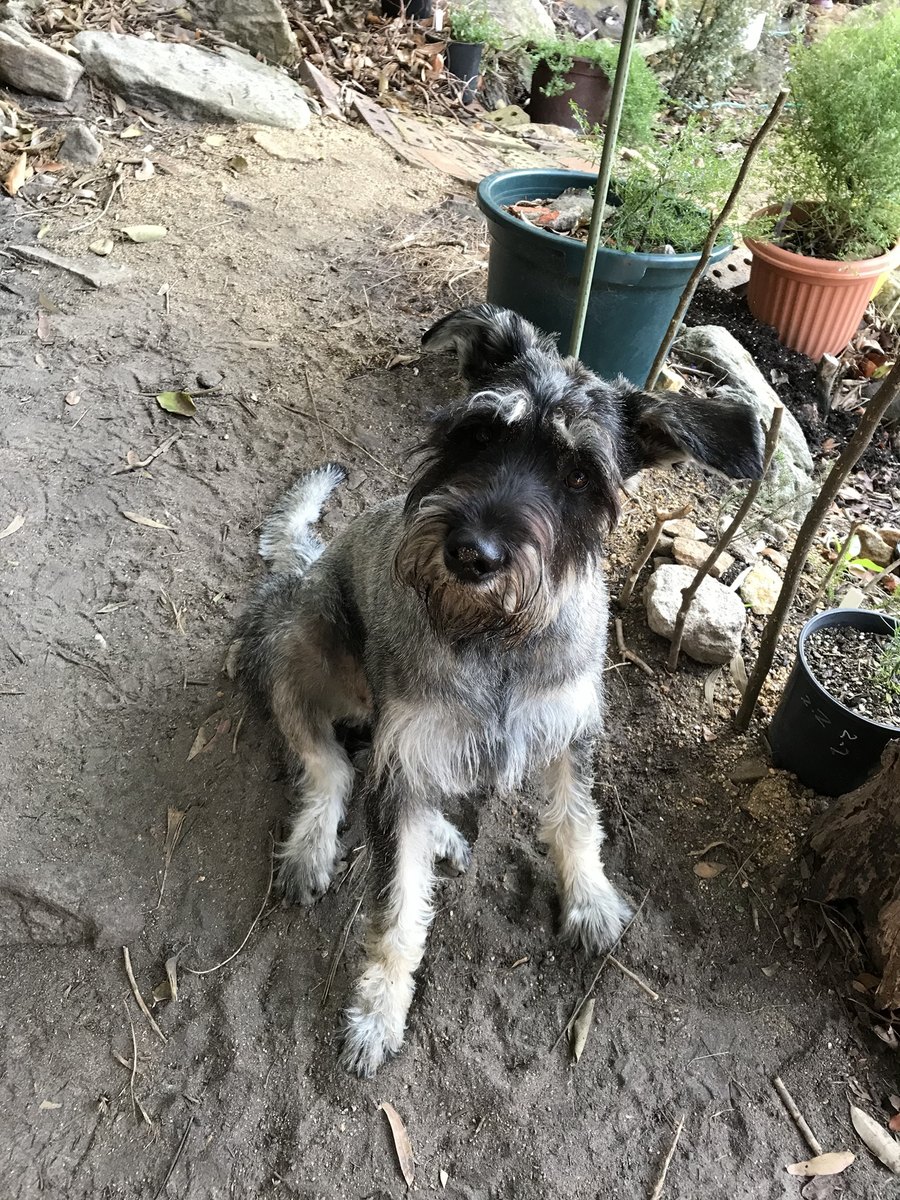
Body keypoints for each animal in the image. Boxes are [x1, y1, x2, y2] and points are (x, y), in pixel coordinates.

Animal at [235, 304, 765, 1077]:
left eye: (579, 474)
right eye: (480, 433)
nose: (471, 554)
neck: (496, 638)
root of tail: (306, 562)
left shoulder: (570, 732)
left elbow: (576, 819)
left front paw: (590, 900)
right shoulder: (409, 752)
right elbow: (397, 907)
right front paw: (378, 1011)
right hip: (296, 637)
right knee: (328, 763)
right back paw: (316, 845)